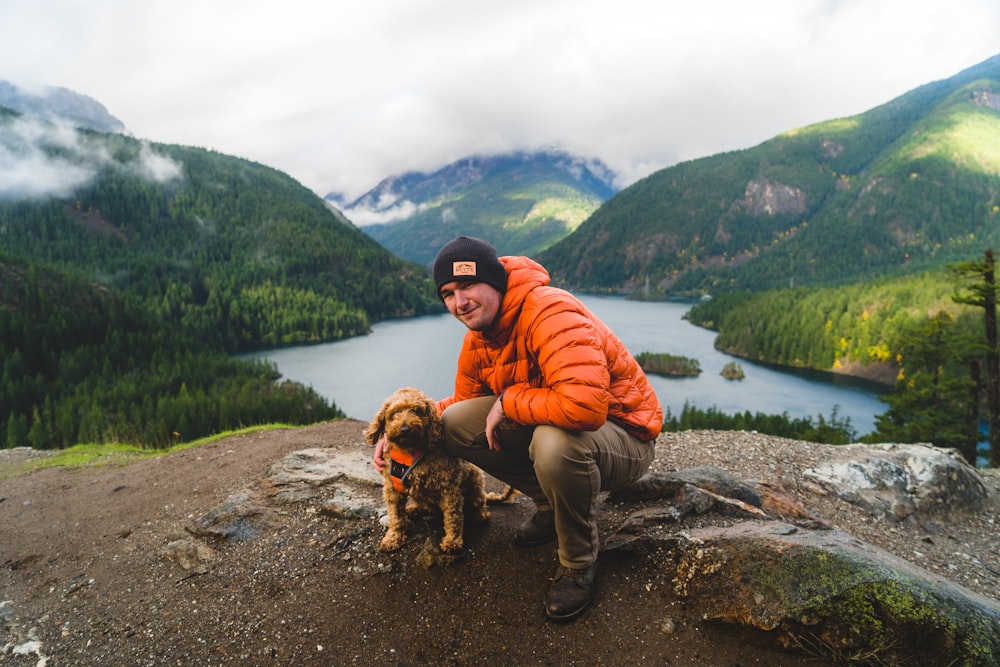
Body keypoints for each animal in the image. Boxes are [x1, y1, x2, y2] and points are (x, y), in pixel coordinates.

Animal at [368, 386, 492, 552]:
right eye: (395, 412)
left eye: (417, 410)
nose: (405, 429)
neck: (410, 450)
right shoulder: (392, 489)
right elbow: (395, 516)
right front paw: (393, 537)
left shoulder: (449, 489)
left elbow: (453, 516)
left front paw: (452, 541)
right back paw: (415, 509)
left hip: (475, 480)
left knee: (478, 506)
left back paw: (478, 517)